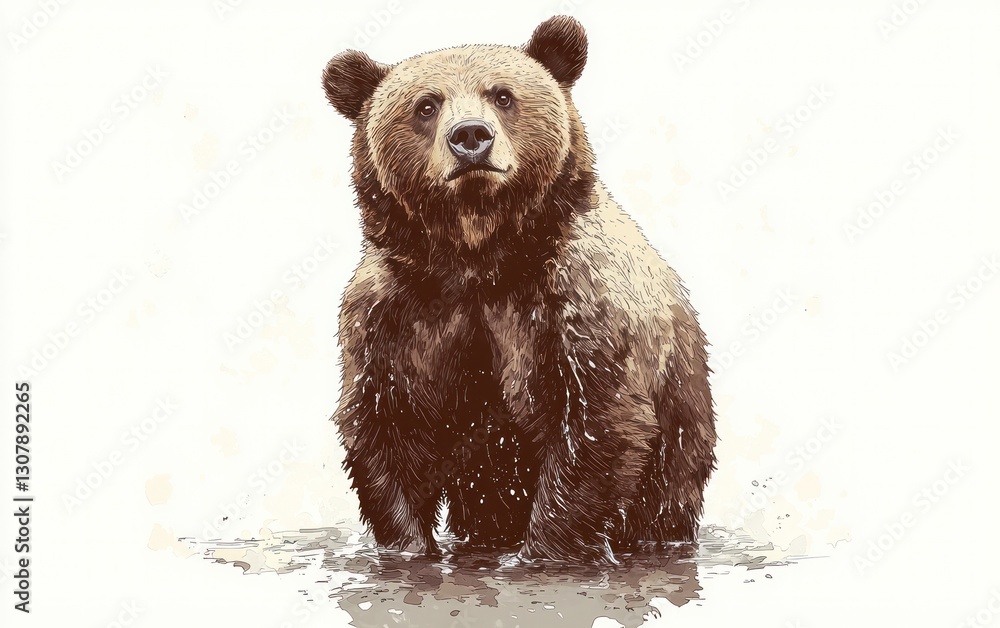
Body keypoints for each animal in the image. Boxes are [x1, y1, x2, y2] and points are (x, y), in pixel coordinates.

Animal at [322, 15, 716, 563]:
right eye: (426, 105)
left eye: (503, 95)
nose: (471, 136)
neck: (480, 258)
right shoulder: (393, 316)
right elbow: (384, 428)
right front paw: (408, 546)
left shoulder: (578, 304)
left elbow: (595, 422)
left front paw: (544, 551)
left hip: (676, 457)